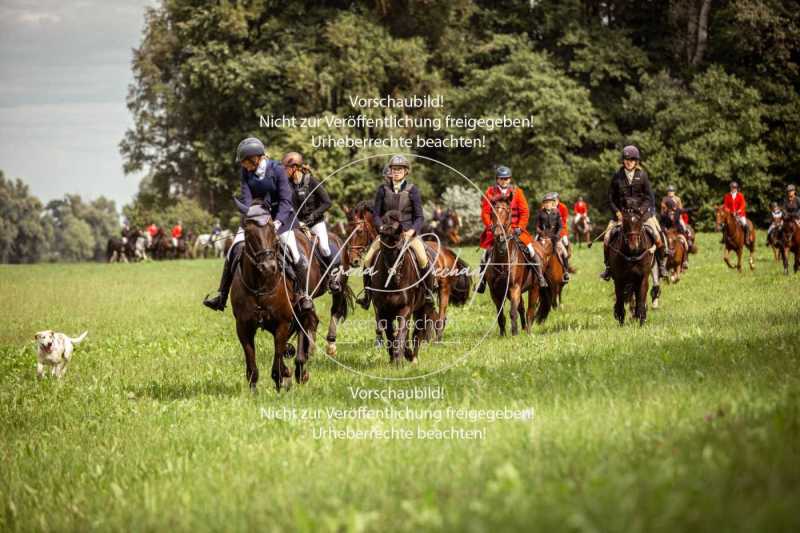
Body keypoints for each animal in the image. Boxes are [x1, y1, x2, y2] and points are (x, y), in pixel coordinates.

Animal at [482, 197, 552, 334]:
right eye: (492, 213)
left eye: (508, 212)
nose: (499, 235)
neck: (503, 260)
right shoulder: (495, 291)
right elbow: (500, 316)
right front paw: (503, 334)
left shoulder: (514, 287)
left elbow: (513, 312)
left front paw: (514, 333)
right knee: (522, 308)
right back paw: (524, 328)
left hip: (534, 288)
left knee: (530, 311)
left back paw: (528, 331)